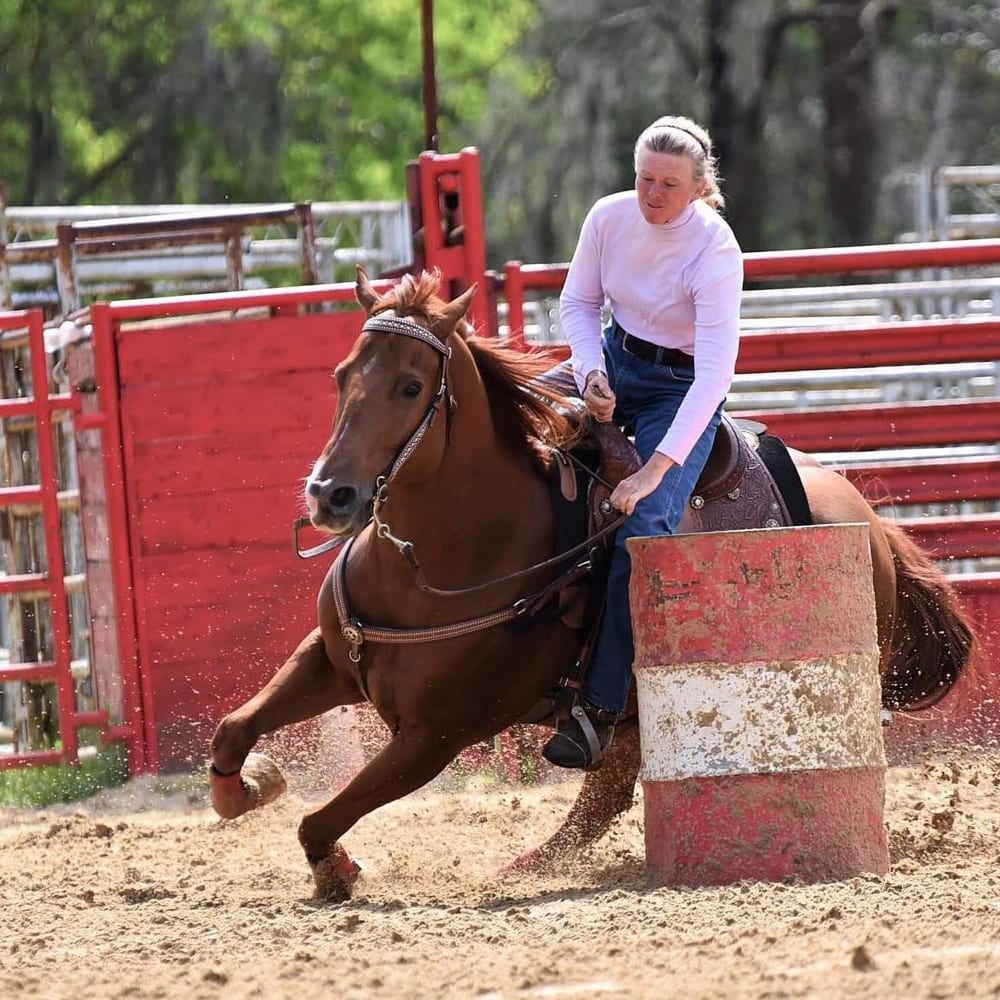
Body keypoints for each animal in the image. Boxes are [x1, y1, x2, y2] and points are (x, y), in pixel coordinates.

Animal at [209, 266, 968, 900]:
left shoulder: (435, 737)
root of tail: (867, 517)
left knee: (604, 791)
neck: (429, 563)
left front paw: (335, 867)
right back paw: (526, 866)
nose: (330, 495)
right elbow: (232, 729)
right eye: (342, 375)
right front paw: (246, 788)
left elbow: (319, 819)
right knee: (605, 792)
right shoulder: (332, 660)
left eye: (411, 386)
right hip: (627, 711)